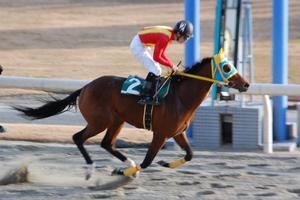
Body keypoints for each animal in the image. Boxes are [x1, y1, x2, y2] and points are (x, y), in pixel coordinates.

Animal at [14, 50, 248, 179]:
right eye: (226, 67)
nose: (246, 84)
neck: (180, 97)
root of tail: (86, 87)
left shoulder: (177, 133)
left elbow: (190, 155)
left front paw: (164, 164)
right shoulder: (160, 134)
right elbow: (147, 162)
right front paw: (121, 173)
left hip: (116, 120)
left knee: (107, 143)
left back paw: (127, 163)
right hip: (100, 121)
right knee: (78, 137)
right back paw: (92, 169)